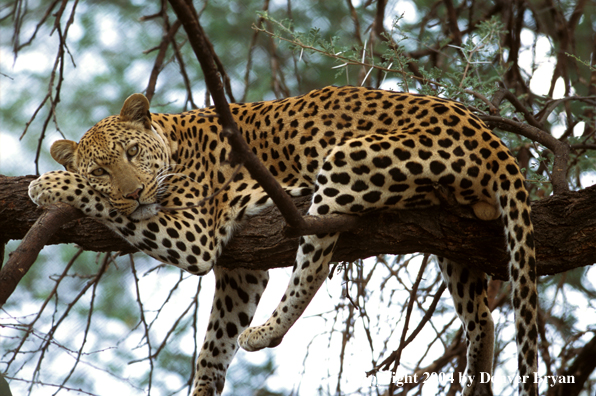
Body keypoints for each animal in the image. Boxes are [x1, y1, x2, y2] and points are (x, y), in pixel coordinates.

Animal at [29, 86, 540, 396]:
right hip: (453, 243)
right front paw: (205, 385)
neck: (174, 141)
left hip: (344, 160)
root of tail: (491, 139)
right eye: (101, 169)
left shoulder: (195, 234)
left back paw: (266, 331)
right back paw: (477, 375)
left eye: (133, 153)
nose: (134, 192)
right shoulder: (240, 269)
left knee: (314, 264)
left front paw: (49, 184)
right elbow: (214, 342)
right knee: (481, 315)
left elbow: (111, 209)